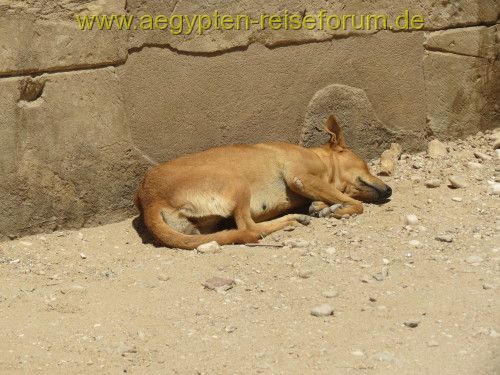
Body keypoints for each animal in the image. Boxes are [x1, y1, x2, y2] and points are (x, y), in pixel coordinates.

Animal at [136, 115, 390, 250]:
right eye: (366, 165)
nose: (390, 189)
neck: (318, 158)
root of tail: (149, 200)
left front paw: (323, 207)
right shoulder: (301, 178)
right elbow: (357, 204)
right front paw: (338, 210)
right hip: (237, 182)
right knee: (249, 230)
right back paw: (292, 220)